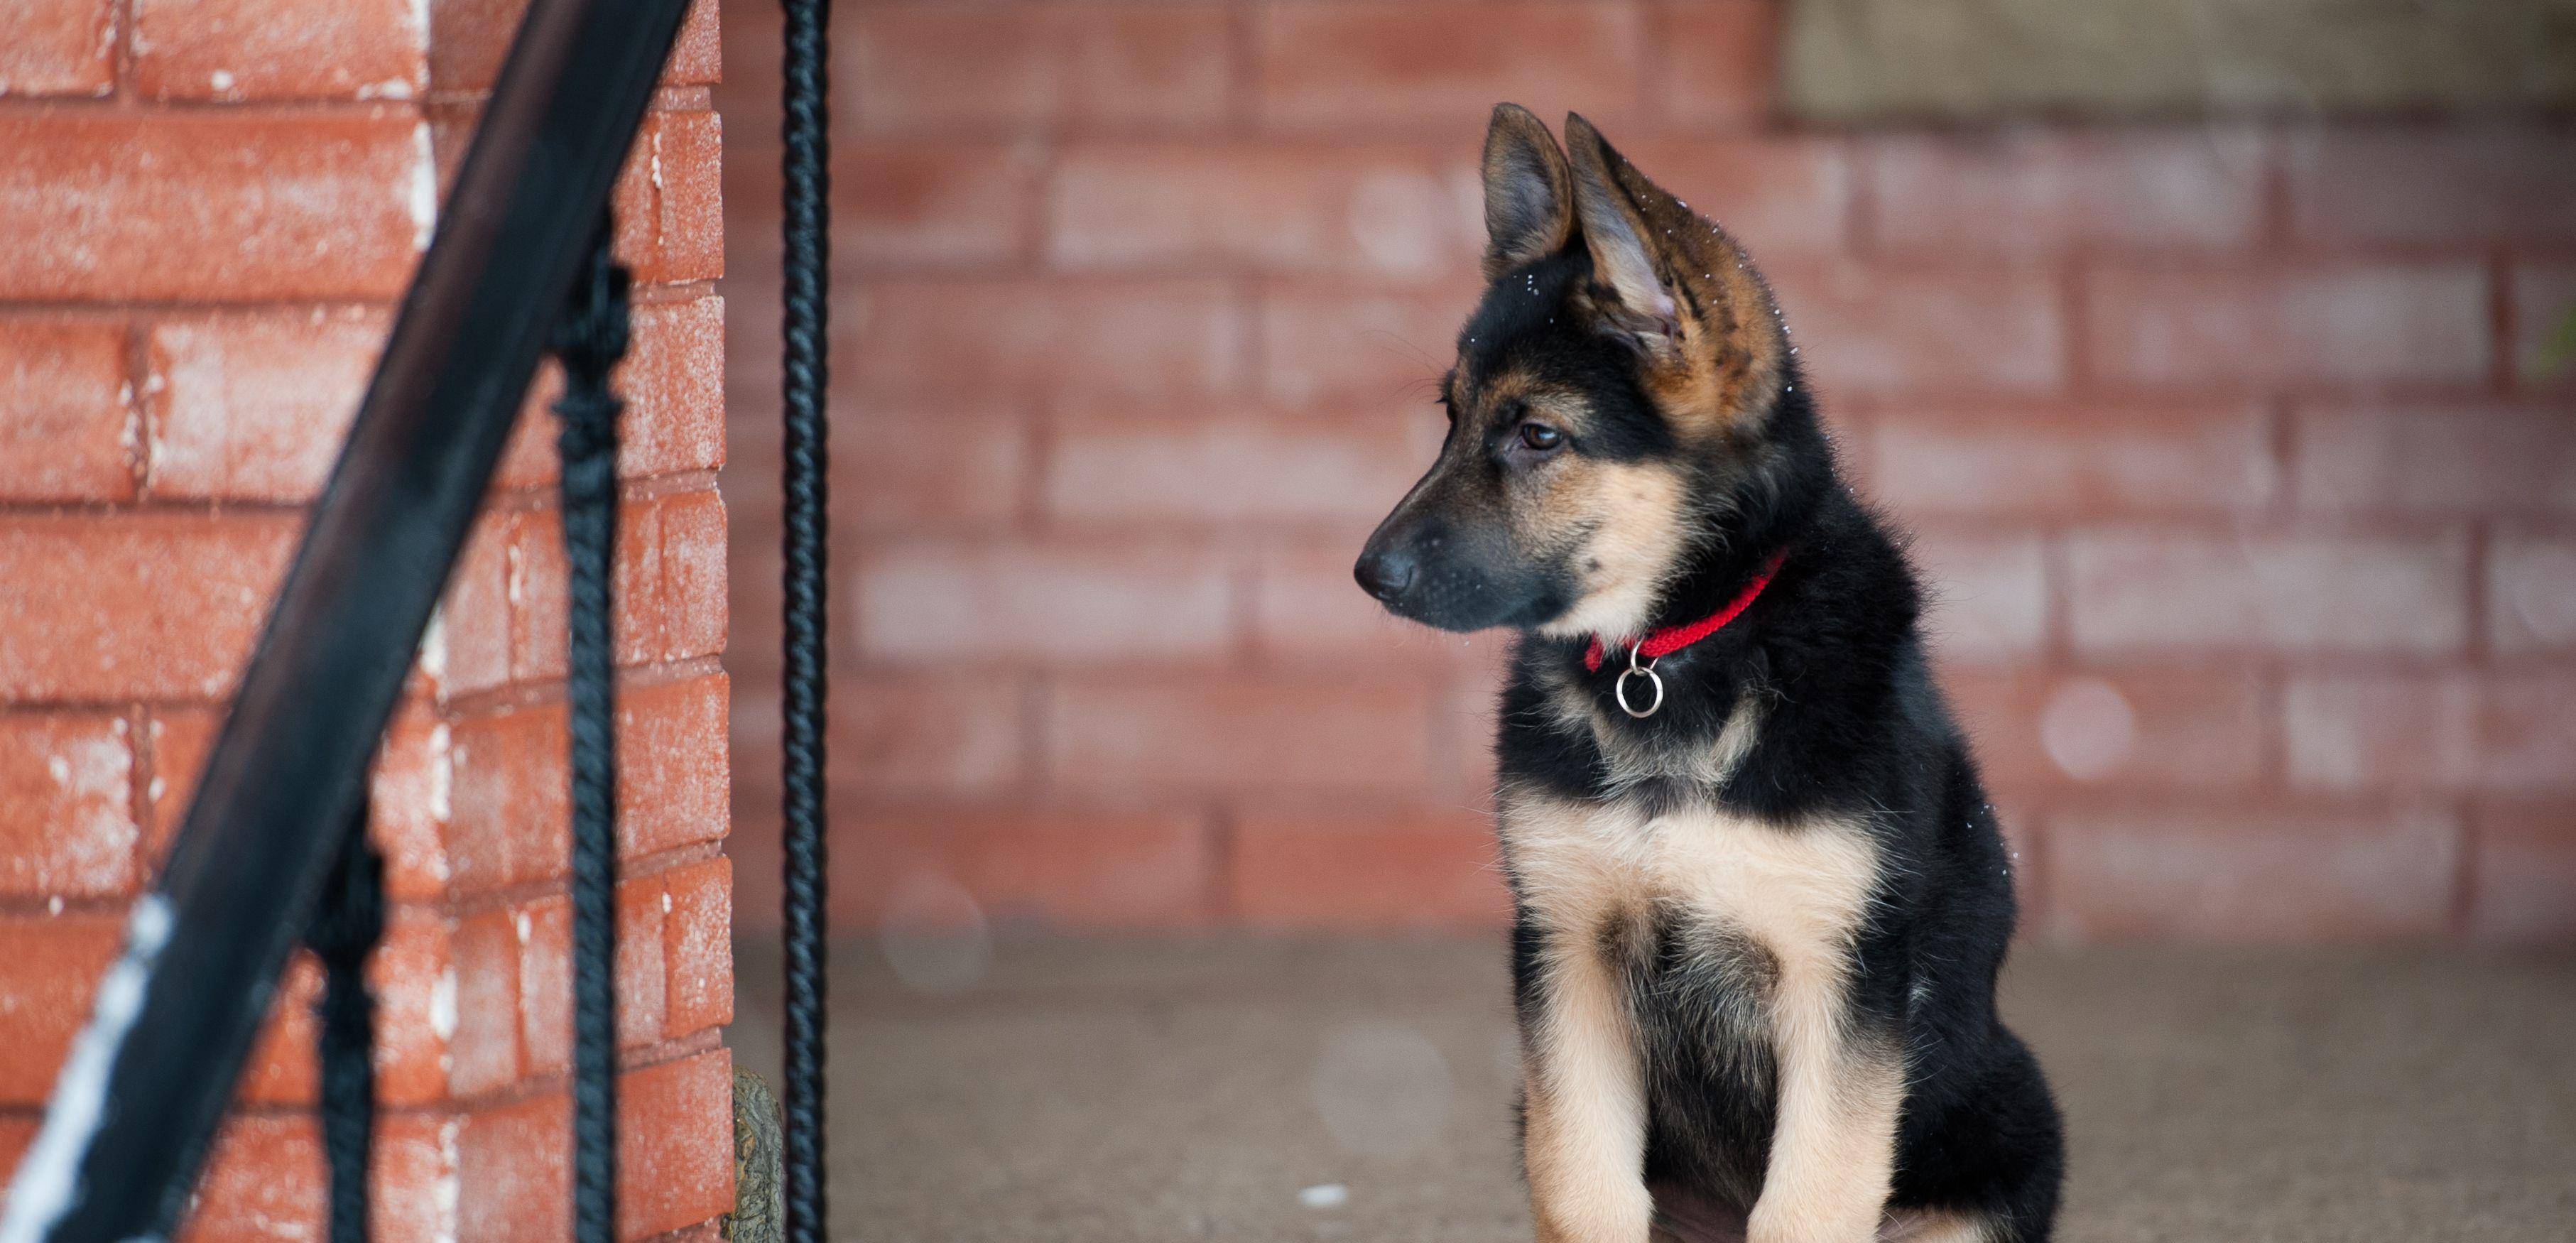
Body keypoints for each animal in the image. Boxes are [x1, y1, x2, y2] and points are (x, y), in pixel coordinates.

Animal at [1360, 109, 2060, 1243]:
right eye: (1450, 416)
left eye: (1537, 434)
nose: (1367, 574)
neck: (1667, 658)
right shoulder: (1566, 956)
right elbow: (1583, 1186)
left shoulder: (1840, 979)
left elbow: (1809, 1199)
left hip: (2006, 1111)